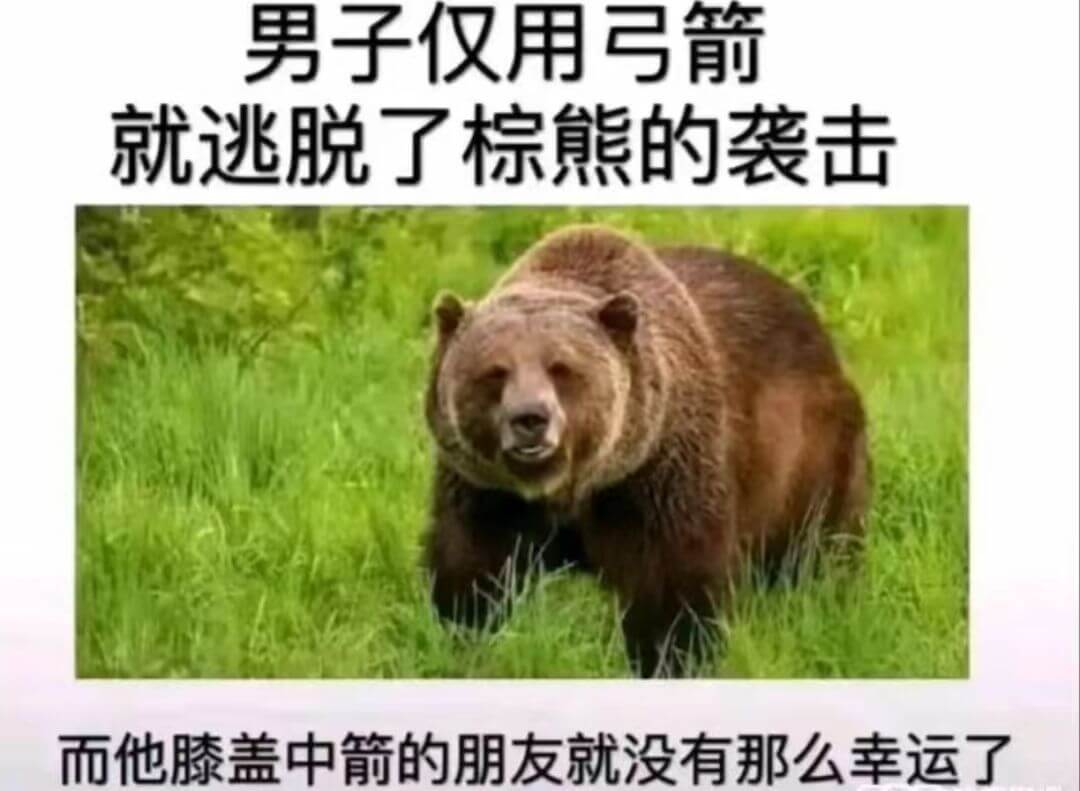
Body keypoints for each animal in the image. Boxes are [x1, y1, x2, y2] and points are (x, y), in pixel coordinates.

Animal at [423, 225, 870, 677]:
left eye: (562, 368)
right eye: (494, 372)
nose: (530, 418)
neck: (572, 488)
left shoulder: (659, 479)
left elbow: (673, 588)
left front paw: (672, 658)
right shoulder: (487, 492)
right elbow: (474, 570)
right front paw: (465, 637)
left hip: (807, 457)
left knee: (816, 547)